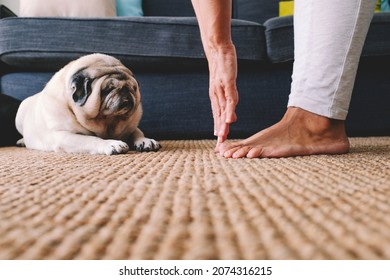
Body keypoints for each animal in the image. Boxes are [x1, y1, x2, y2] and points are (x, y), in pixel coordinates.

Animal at [15, 53, 160, 154]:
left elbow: (137, 132)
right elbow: (90, 139)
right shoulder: (63, 136)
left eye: (133, 88)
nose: (125, 90)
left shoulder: (130, 126)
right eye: (107, 89)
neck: (108, 123)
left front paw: (145, 141)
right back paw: (22, 141)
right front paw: (110, 144)